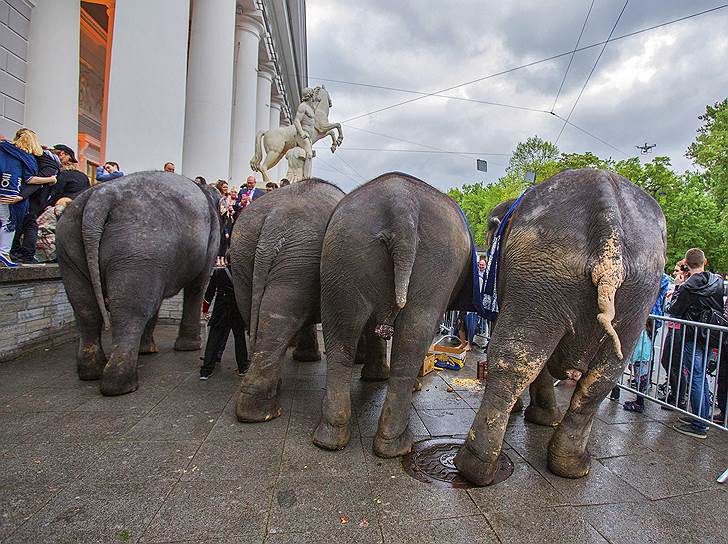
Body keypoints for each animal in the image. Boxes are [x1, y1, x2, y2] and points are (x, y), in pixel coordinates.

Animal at [57, 170, 219, 396]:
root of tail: (100, 198)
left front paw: (148, 350)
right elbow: (197, 286)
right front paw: (188, 348)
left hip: (71, 245)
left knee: (85, 308)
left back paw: (92, 373)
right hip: (139, 247)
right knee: (131, 310)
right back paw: (122, 385)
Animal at [230, 176, 390, 422]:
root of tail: (273, 220)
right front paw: (374, 375)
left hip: (247, 257)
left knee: (261, 315)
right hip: (298, 257)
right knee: (282, 316)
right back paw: (263, 413)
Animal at [314, 172, 478, 456]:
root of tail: (402, 205)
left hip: (343, 254)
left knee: (342, 337)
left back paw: (331, 438)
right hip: (437, 262)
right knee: (416, 335)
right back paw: (398, 445)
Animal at [456, 168, 664, 482]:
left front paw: (530, 416)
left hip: (546, 273)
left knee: (516, 360)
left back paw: (473, 468)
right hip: (634, 289)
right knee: (605, 373)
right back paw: (572, 467)